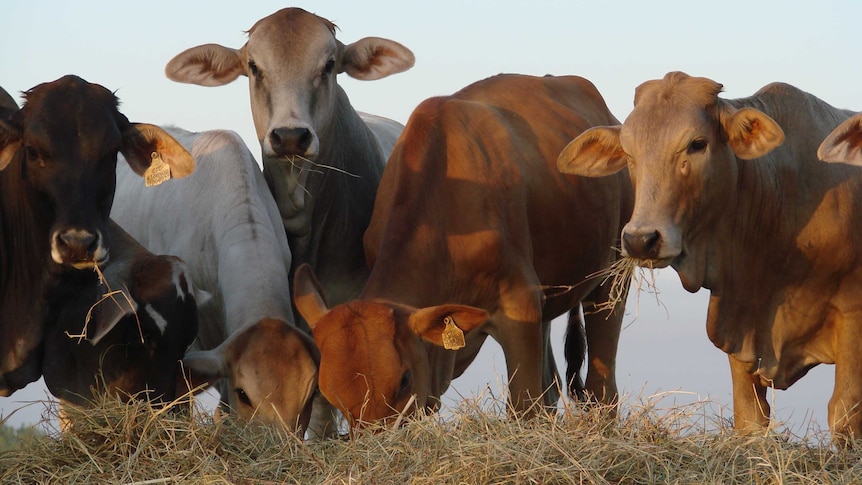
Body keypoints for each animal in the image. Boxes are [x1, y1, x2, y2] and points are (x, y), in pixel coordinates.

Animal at [296, 73, 636, 432]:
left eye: (404, 380)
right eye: (329, 392)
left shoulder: (520, 304)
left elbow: (523, 407)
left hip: (612, 275)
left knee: (601, 384)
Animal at [556, 71, 860, 442]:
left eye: (697, 144)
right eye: (628, 152)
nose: (641, 240)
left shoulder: (853, 318)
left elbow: (845, 413)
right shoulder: (741, 325)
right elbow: (750, 417)